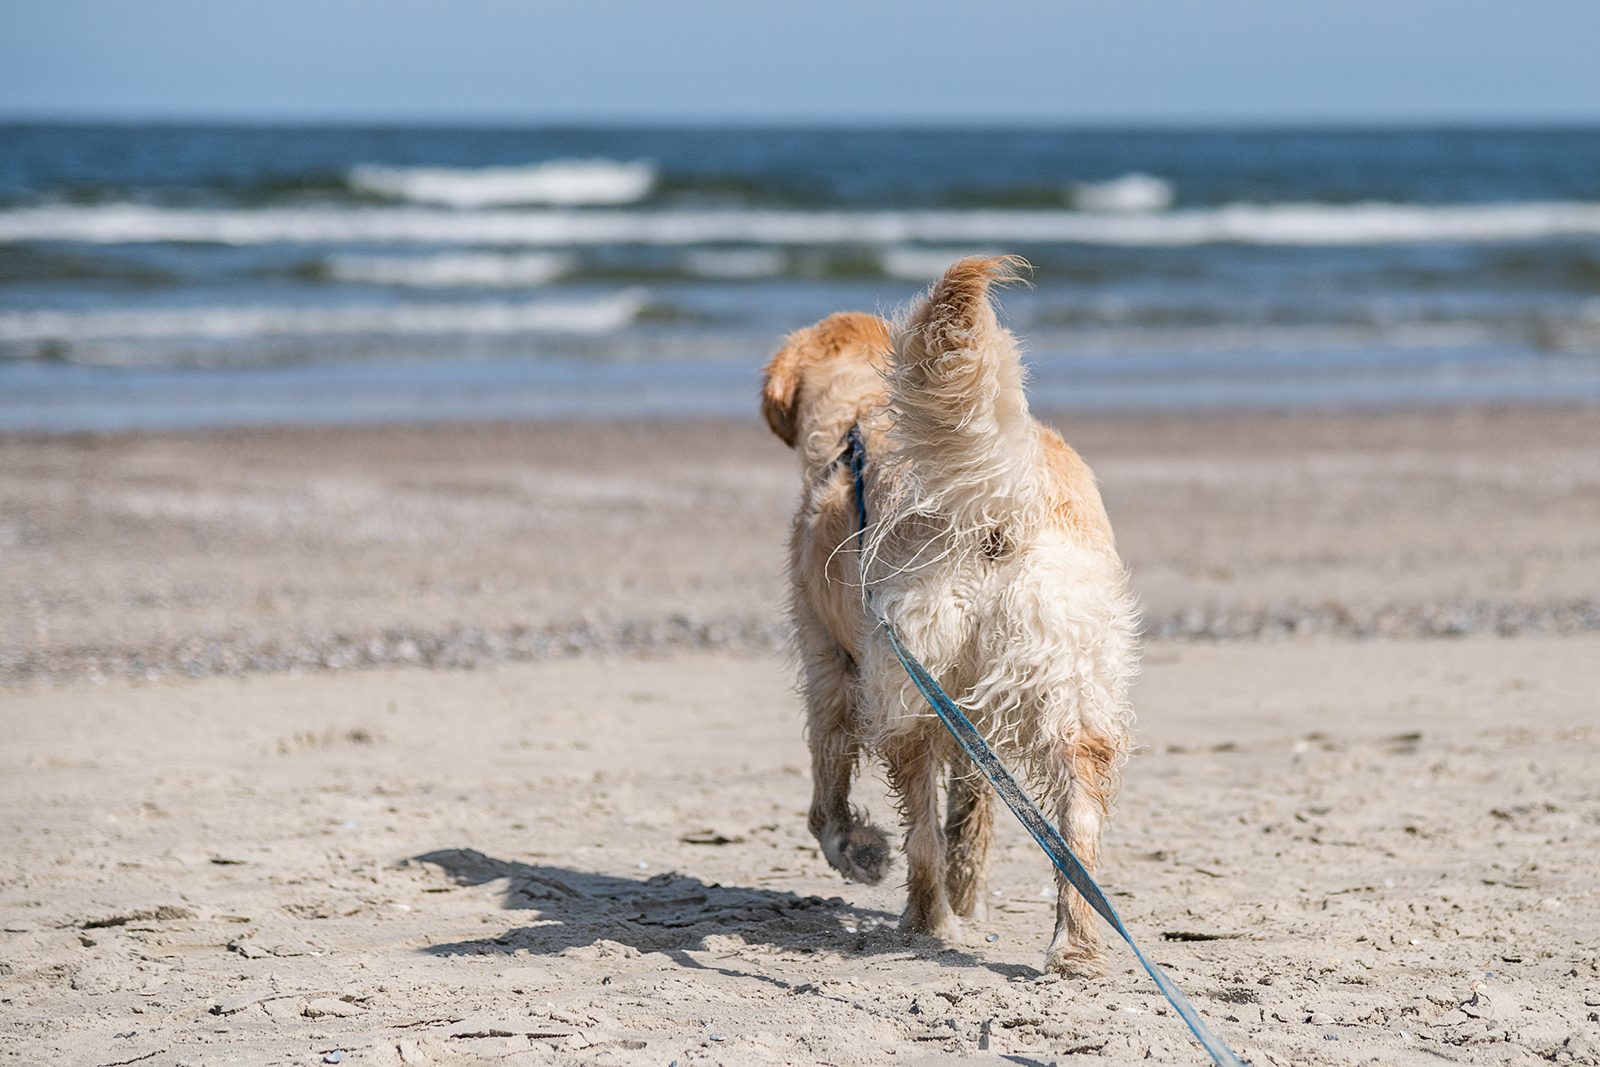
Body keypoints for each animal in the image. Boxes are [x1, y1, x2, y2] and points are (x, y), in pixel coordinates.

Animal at [761, 259, 1139, 979]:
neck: (858, 417)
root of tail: (999, 496)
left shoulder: (828, 662)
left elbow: (826, 794)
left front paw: (858, 851)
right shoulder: (971, 702)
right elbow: (976, 811)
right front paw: (973, 898)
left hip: (906, 687)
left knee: (923, 836)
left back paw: (925, 920)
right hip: (1066, 676)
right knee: (1074, 820)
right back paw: (1073, 945)